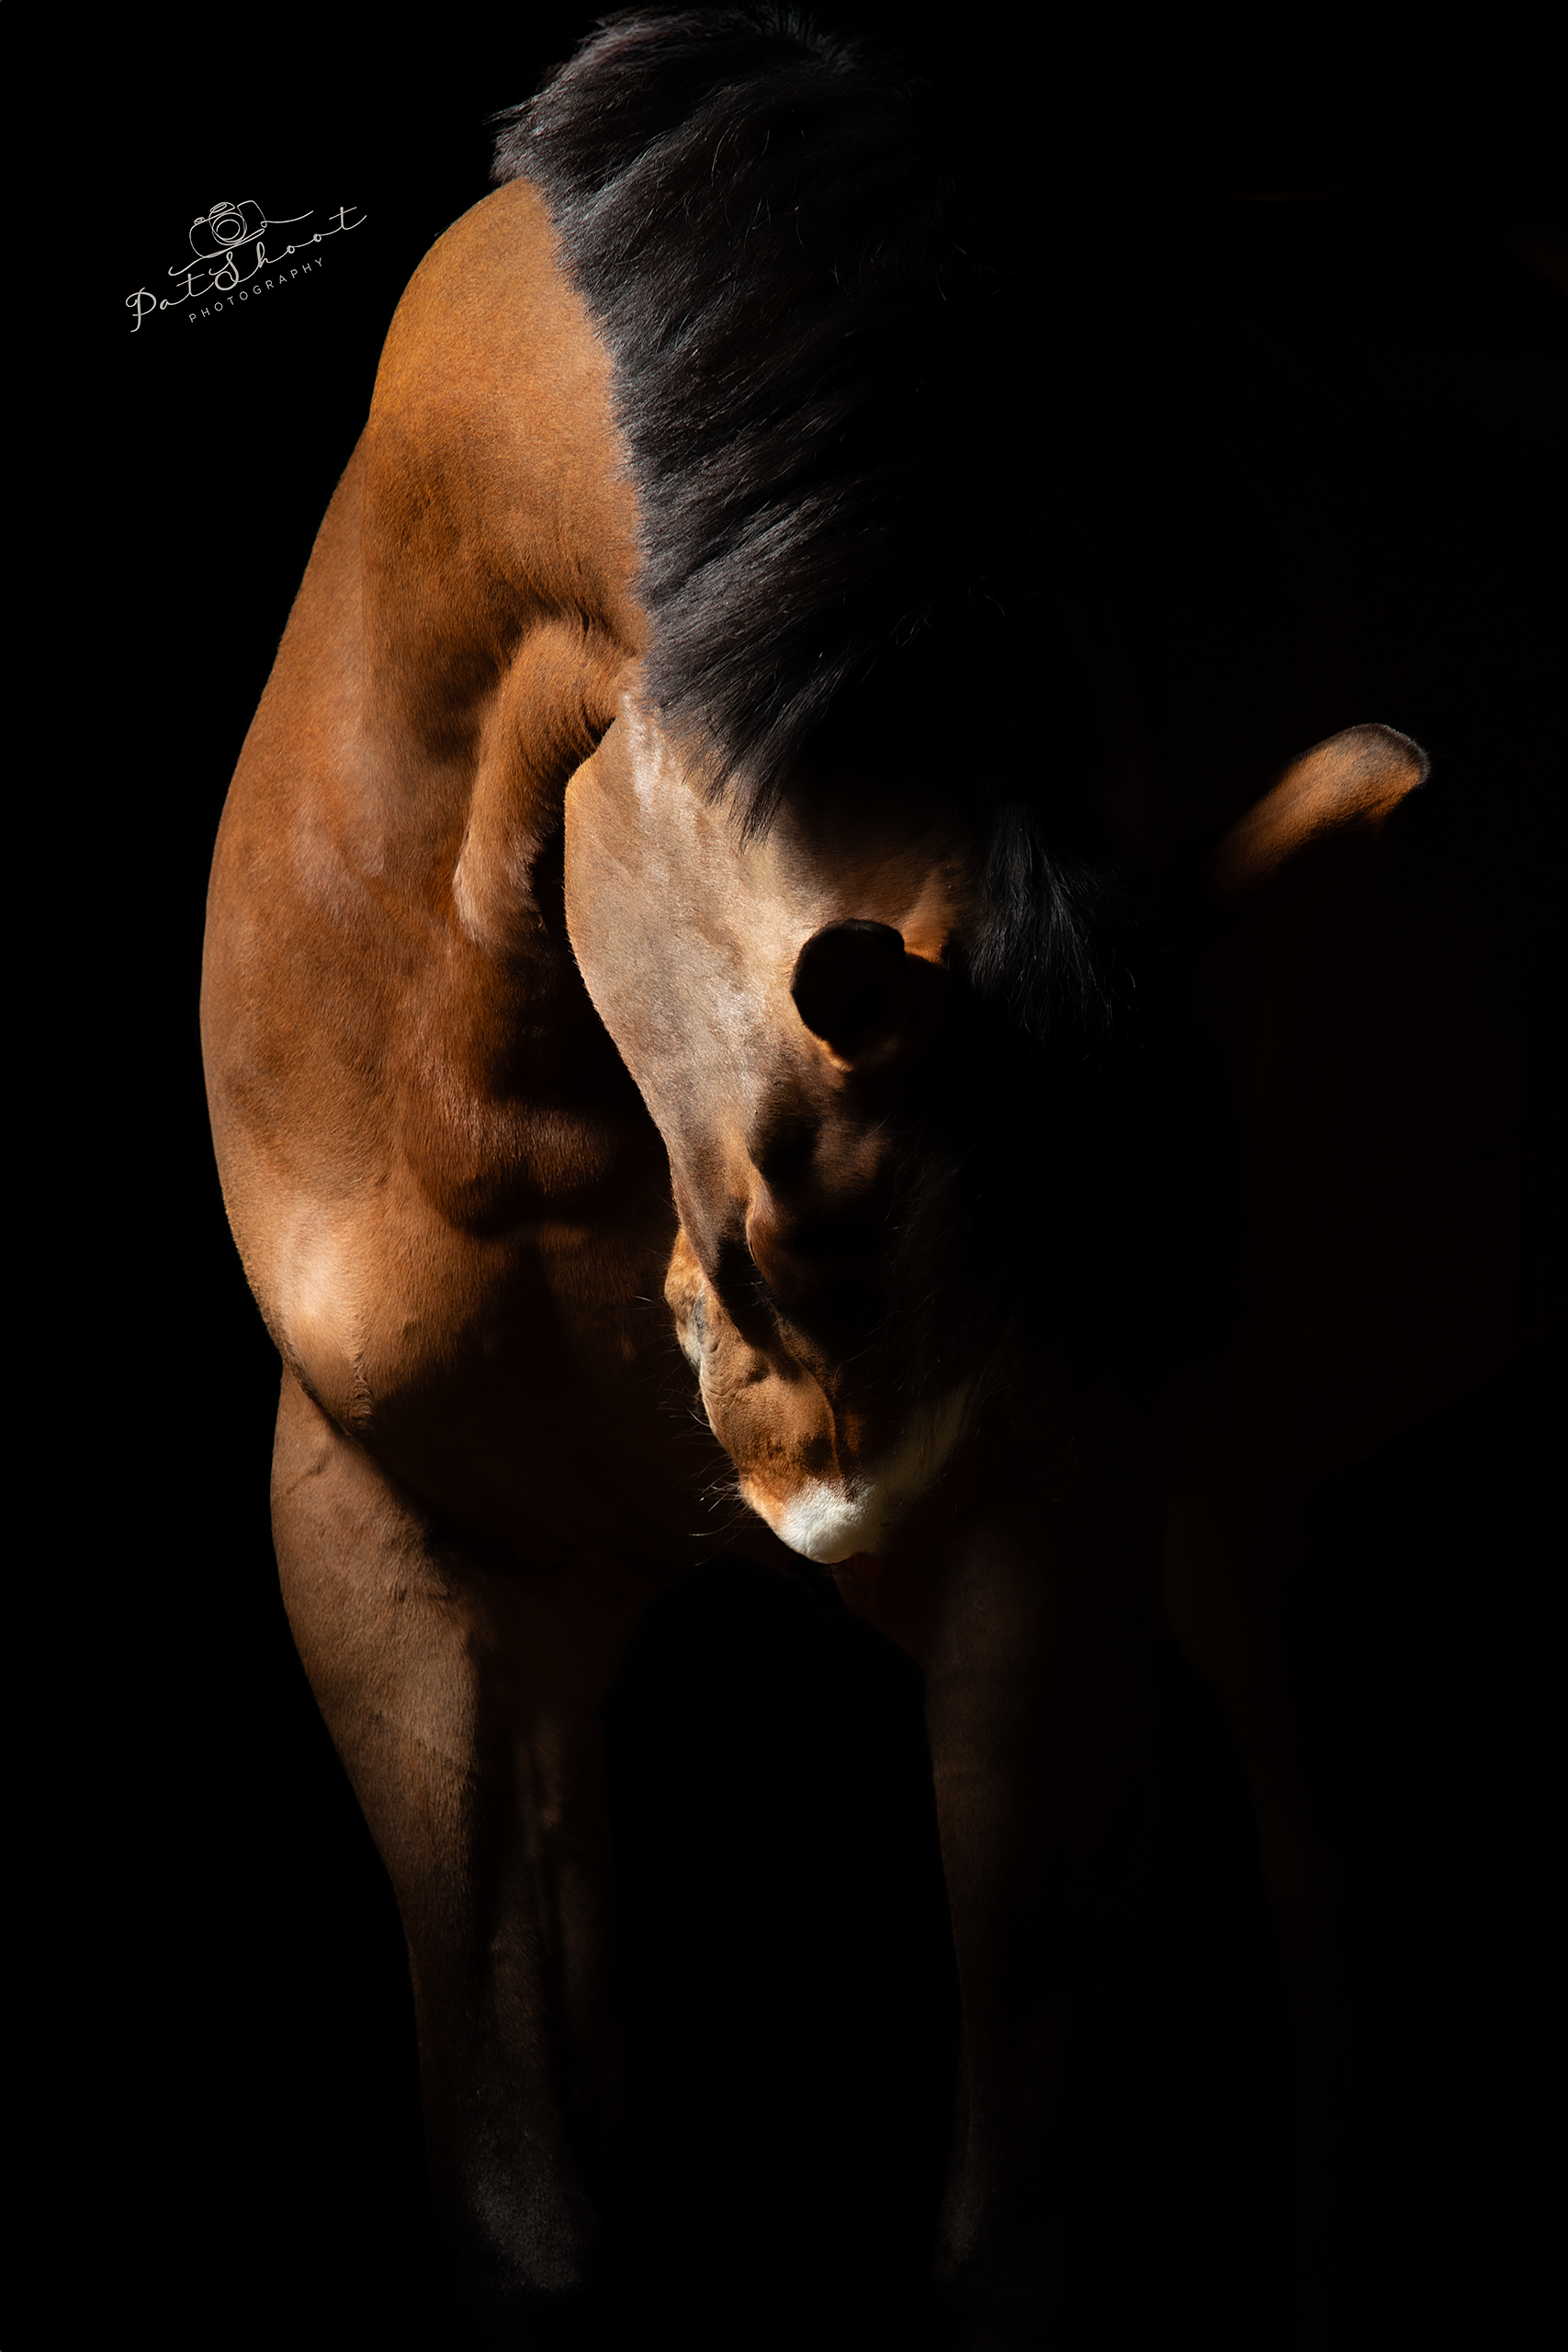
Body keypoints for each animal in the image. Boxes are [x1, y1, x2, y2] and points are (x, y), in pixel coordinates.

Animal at [200, 10, 1564, 2344]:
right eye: (769, 1230)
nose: (813, 1516)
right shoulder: (402, 1539)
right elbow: (523, 2207)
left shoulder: (1050, 1547)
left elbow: (1011, 2224)